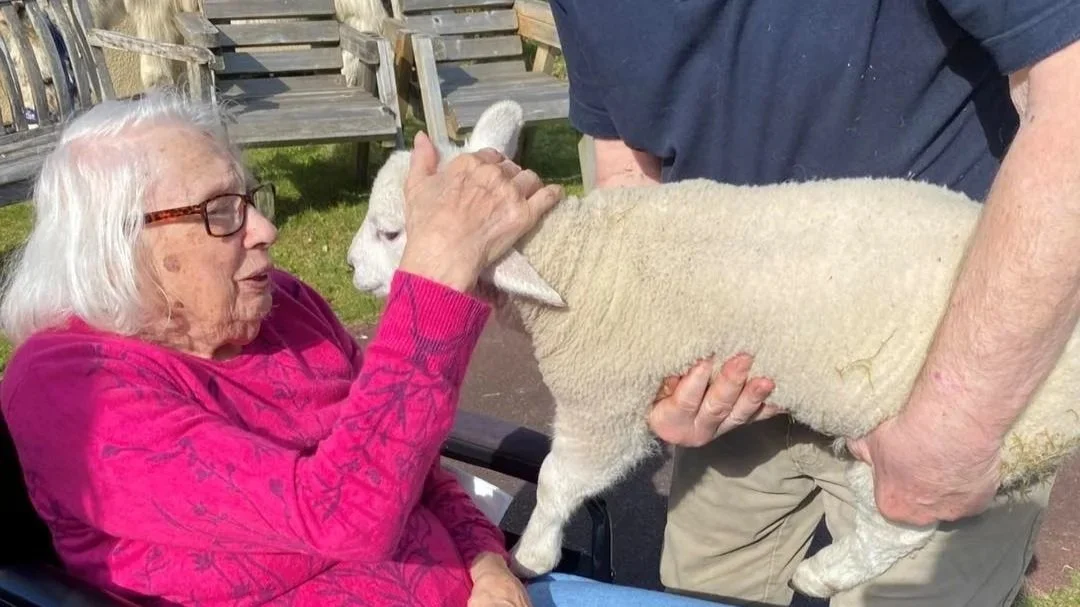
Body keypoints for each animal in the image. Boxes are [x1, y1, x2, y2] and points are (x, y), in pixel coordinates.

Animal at [345, 99, 1080, 599]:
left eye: (391, 233)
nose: (351, 269)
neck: (579, 257)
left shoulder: (605, 400)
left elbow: (560, 477)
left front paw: (533, 552)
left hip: (946, 442)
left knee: (902, 527)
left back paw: (825, 572)